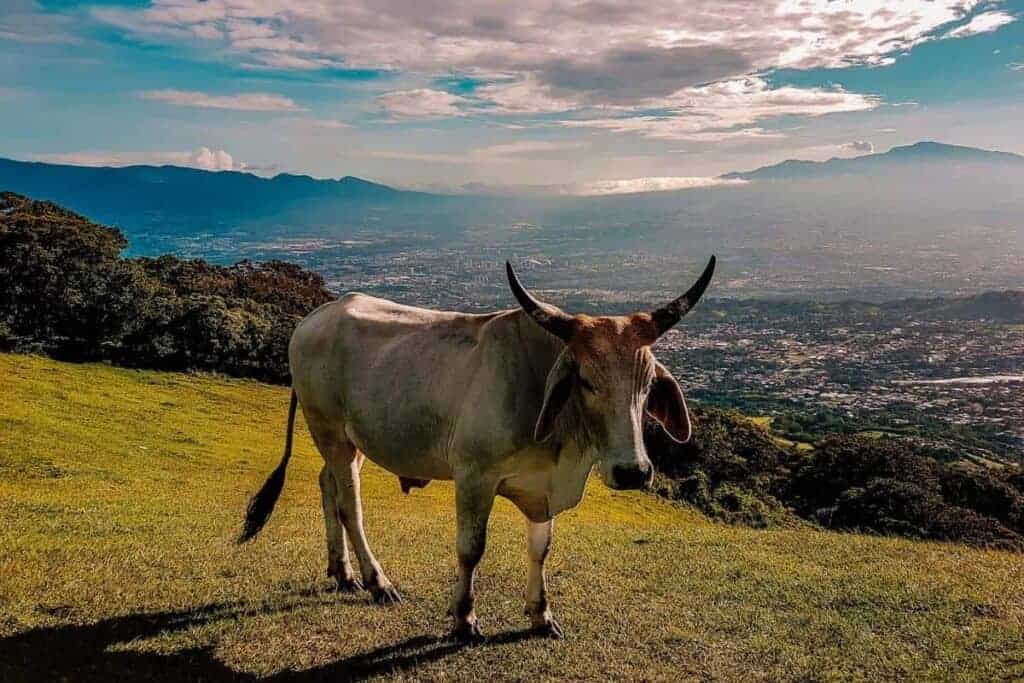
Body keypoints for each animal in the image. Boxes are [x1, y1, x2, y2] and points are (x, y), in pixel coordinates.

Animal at [242, 255, 716, 643]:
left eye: (648, 384)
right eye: (585, 379)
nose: (633, 472)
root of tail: (314, 317)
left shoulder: (542, 488)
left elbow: (540, 548)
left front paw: (541, 614)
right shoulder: (473, 477)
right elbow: (471, 548)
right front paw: (464, 619)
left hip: (352, 440)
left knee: (328, 485)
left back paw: (342, 572)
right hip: (329, 432)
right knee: (350, 505)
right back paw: (378, 582)